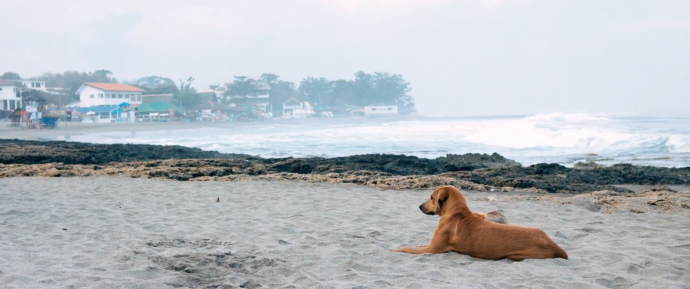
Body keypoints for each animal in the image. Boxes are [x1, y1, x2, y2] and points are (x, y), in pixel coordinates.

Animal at [390, 186, 568, 260]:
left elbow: (409, 249)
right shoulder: (430, 245)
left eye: (431, 197)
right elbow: (417, 245)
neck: (456, 211)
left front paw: (396, 249)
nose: (419, 206)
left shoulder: (433, 250)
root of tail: (556, 246)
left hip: (516, 255)